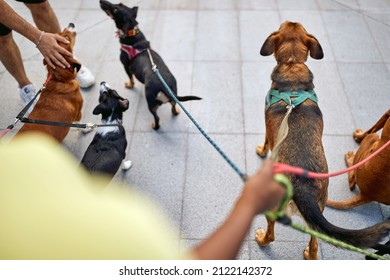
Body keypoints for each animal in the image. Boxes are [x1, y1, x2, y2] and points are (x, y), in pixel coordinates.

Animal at [99, 0, 201, 130]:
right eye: (119, 4)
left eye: (116, 9)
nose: (101, 1)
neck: (132, 35)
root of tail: (164, 88)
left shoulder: (126, 66)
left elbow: (130, 78)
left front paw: (129, 85)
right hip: (173, 97)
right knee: (173, 106)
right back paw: (176, 111)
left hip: (151, 104)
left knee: (157, 118)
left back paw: (155, 126)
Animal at [254, 20, 390, 260]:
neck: (292, 64)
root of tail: (303, 188)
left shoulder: (267, 124)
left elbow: (267, 142)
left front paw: (261, 150)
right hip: (319, 209)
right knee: (316, 243)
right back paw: (310, 254)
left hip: (273, 206)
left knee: (271, 234)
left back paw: (261, 238)